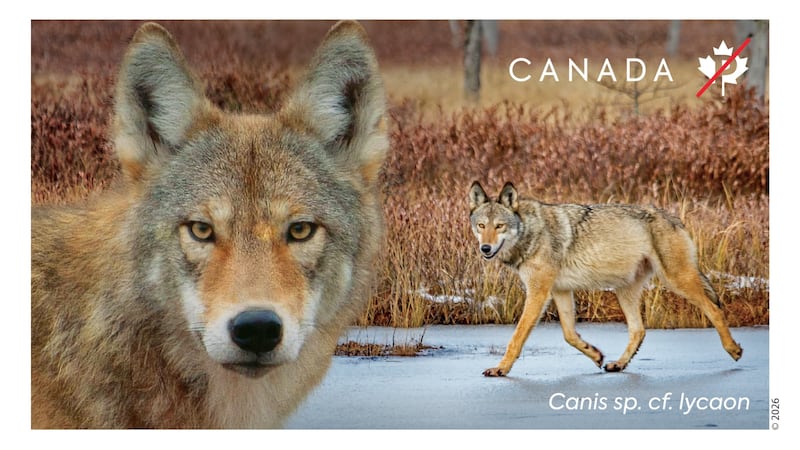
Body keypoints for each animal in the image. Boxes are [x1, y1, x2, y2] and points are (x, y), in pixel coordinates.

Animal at [468, 181, 742, 376]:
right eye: (481, 226)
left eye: (500, 226)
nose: (485, 248)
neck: (531, 232)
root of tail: (674, 218)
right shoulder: (560, 291)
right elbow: (569, 335)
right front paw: (596, 355)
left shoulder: (538, 293)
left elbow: (517, 337)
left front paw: (500, 369)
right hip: (625, 290)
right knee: (639, 330)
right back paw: (618, 364)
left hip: (676, 280)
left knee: (715, 309)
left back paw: (734, 349)